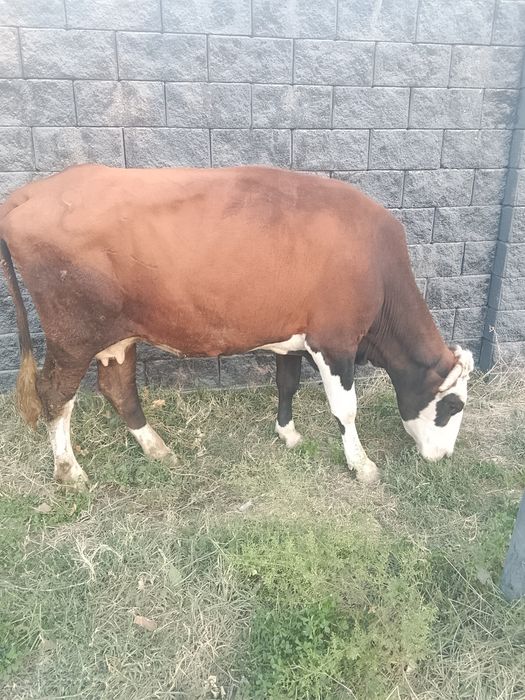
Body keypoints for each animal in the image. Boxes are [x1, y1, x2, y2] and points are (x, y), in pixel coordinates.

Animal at [0, 164, 473, 487]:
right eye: (454, 406)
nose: (445, 457)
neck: (377, 267)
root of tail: (32, 192)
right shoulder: (335, 341)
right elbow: (345, 408)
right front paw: (362, 464)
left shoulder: (292, 337)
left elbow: (287, 384)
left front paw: (288, 434)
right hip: (72, 335)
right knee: (55, 395)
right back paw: (70, 470)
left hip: (115, 335)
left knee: (117, 388)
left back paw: (157, 449)